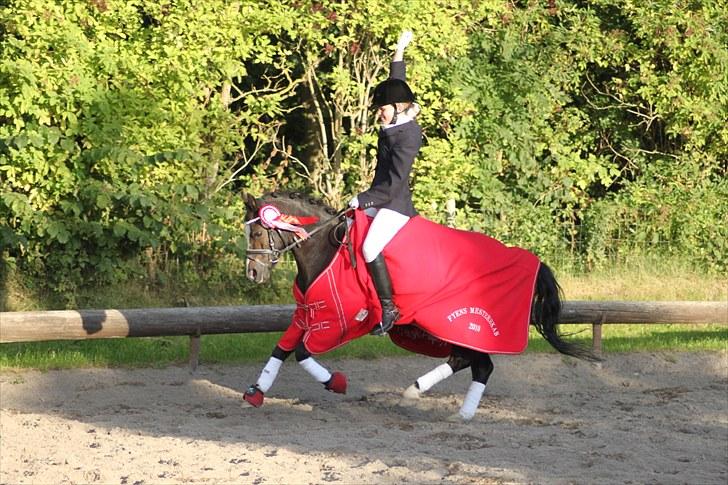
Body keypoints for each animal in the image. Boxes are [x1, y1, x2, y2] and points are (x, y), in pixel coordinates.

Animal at [242, 191, 598, 420]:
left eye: (258, 231)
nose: (253, 274)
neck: (324, 251)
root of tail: (530, 261)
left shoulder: (335, 322)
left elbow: (302, 352)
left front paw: (336, 382)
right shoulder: (306, 314)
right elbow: (281, 348)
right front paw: (255, 393)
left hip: (460, 325)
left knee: (479, 364)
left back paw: (433, 401)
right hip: (450, 330)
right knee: (471, 362)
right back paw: (441, 404)